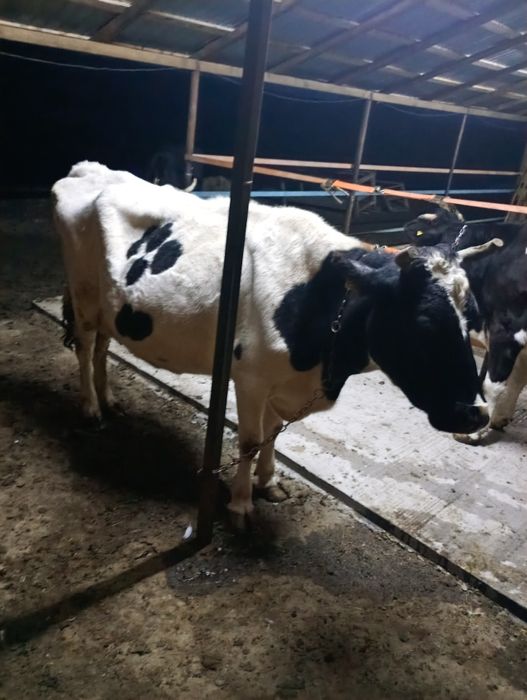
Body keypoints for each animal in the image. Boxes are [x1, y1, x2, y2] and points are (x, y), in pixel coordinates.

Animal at [53, 162, 489, 523]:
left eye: (473, 314)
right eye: (424, 322)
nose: (476, 415)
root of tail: (88, 168)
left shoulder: (281, 383)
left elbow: (274, 432)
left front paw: (268, 483)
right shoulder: (250, 378)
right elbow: (249, 440)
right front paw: (241, 505)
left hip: (111, 306)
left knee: (102, 348)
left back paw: (110, 400)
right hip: (83, 294)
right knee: (85, 347)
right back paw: (91, 408)